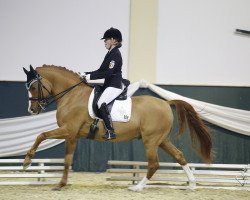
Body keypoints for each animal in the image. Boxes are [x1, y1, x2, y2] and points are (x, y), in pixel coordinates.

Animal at [22, 65, 212, 191]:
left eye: (33, 87)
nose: (32, 110)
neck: (72, 96)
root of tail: (166, 103)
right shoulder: (73, 135)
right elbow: (67, 160)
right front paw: (61, 184)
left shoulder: (68, 130)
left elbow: (41, 135)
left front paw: (26, 161)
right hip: (162, 140)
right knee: (179, 156)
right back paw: (192, 185)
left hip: (151, 140)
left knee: (154, 164)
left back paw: (137, 188)